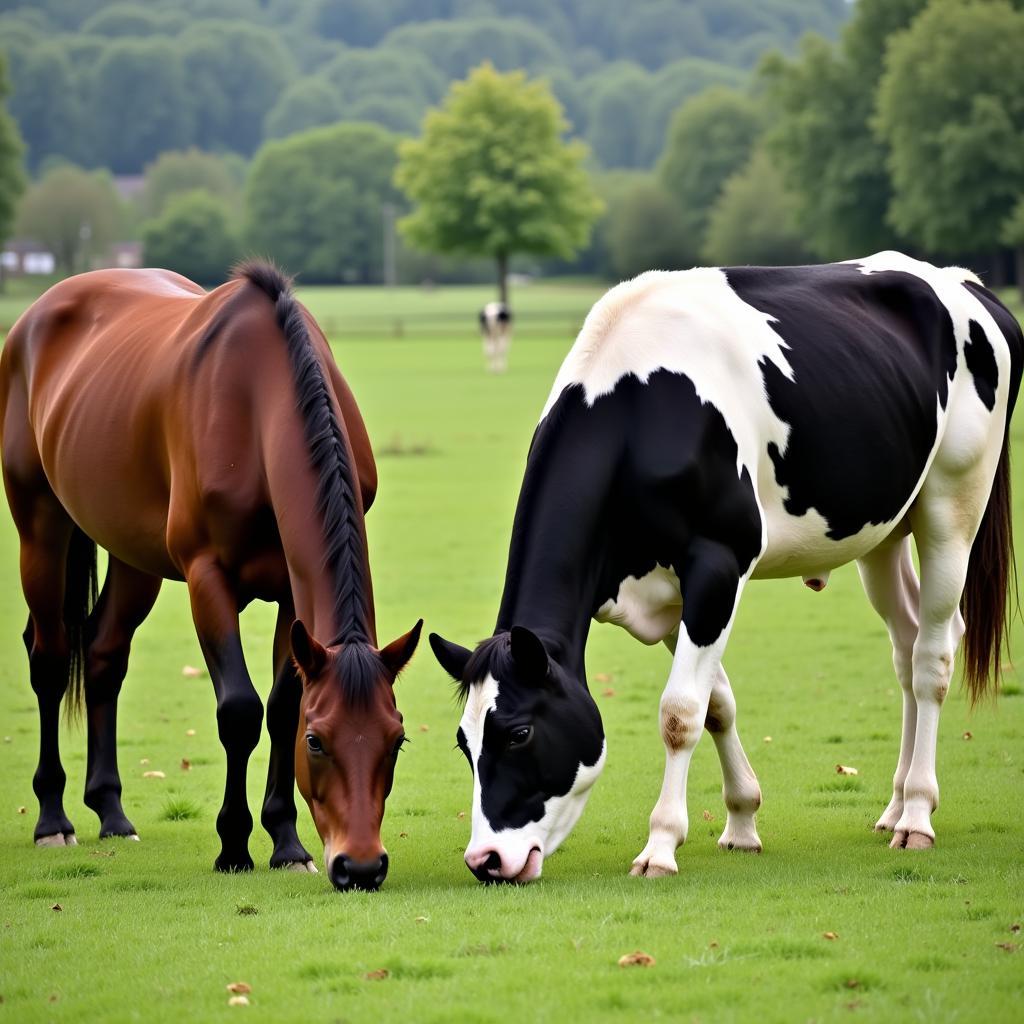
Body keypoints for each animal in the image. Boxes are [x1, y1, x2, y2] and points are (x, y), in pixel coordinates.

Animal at [1, 262, 419, 888]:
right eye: (318, 743)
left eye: (397, 739)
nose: (361, 866)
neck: (258, 401)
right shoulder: (208, 578)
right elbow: (240, 711)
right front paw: (234, 846)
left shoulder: (292, 597)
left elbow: (281, 705)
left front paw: (286, 844)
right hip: (41, 529)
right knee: (49, 659)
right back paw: (53, 819)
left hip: (132, 556)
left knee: (103, 655)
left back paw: (112, 811)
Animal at [432, 253, 1024, 880]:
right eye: (464, 743)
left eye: (519, 733)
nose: (486, 859)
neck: (640, 411)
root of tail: (960, 279)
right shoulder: (670, 594)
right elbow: (716, 705)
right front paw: (741, 821)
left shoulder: (718, 562)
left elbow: (680, 712)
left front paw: (661, 845)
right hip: (883, 527)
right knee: (907, 647)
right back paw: (893, 806)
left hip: (954, 501)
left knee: (933, 655)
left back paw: (916, 814)